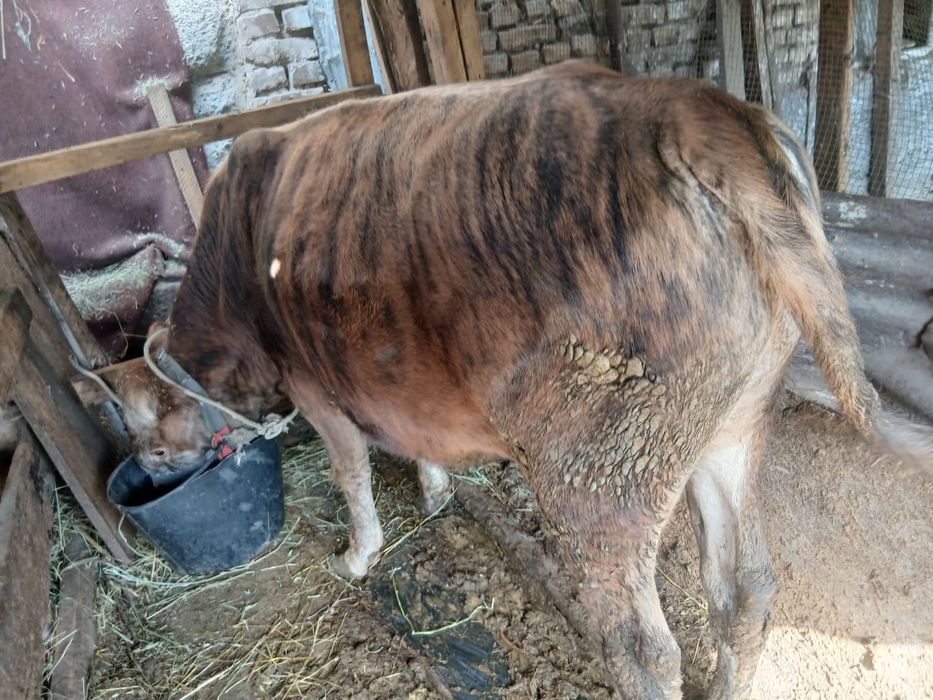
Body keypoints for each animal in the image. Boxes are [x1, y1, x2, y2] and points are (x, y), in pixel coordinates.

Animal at [109, 61, 931, 699]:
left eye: (153, 449)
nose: (148, 472)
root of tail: (696, 109)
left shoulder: (317, 388)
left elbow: (351, 476)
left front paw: (356, 556)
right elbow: (413, 442)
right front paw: (436, 492)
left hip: (598, 470)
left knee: (643, 649)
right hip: (737, 417)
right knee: (745, 592)